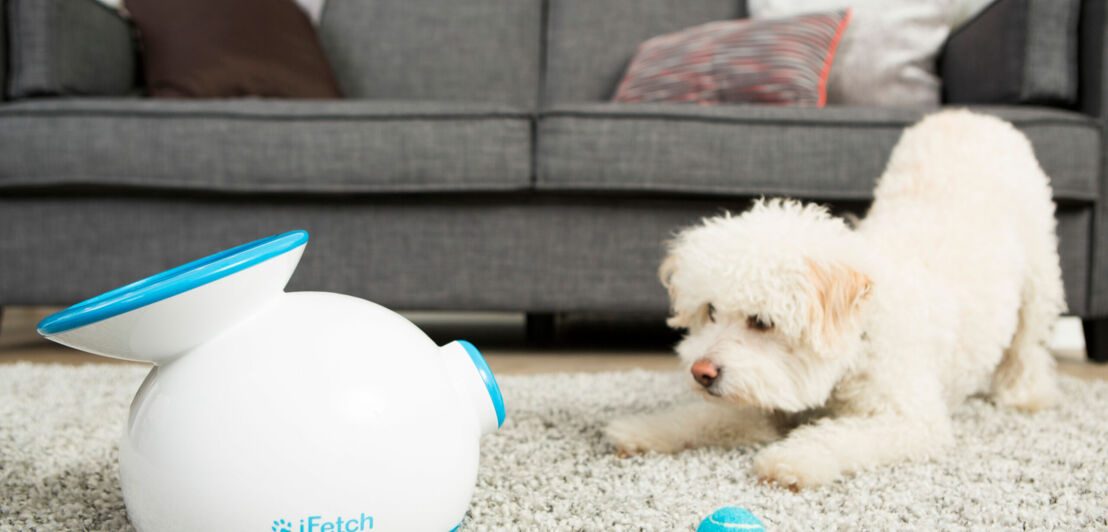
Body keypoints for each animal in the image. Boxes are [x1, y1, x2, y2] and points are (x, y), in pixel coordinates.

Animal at [607, 110, 1063, 487]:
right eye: (711, 311)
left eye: (762, 322)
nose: (701, 372)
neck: (857, 340)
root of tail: (968, 115)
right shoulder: (762, 396)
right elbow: (707, 416)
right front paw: (645, 429)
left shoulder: (909, 419)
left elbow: (839, 436)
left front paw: (794, 459)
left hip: (1039, 273)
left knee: (1028, 343)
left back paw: (1025, 394)